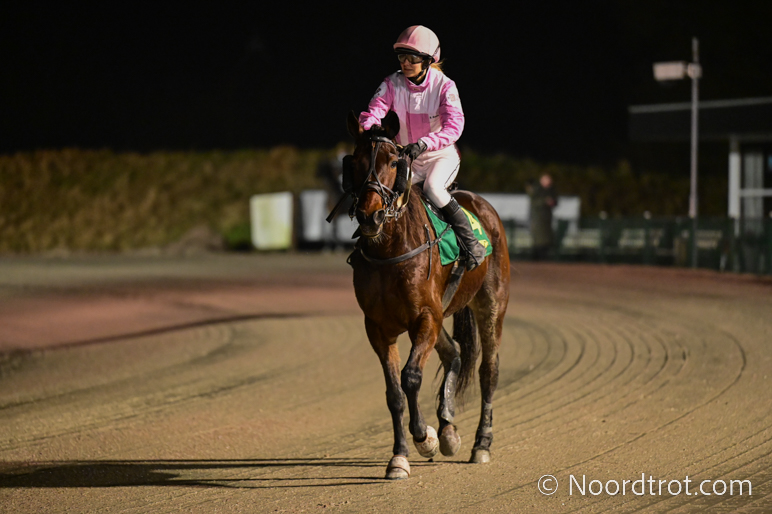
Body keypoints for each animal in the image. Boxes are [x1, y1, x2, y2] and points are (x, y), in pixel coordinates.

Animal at [343, 110, 510, 480]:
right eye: (354, 162)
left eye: (394, 161)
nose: (369, 216)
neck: (392, 248)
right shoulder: (379, 327)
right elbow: (393, 392)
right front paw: (400, 457)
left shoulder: (424, 317)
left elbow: (411, 377)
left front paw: (424, 437)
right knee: (454, 354)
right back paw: (448, 430)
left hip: (491, 304)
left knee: (488, 371)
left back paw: (481, 444)